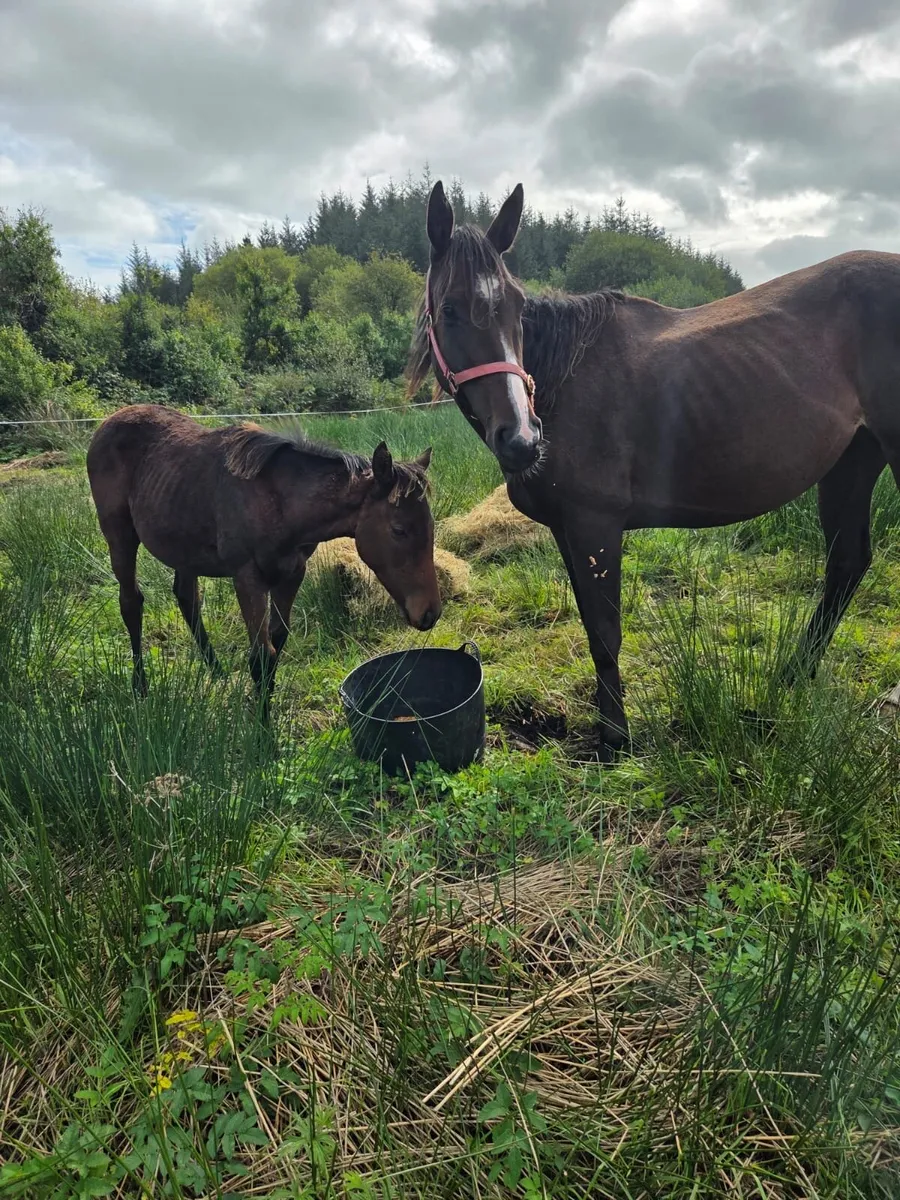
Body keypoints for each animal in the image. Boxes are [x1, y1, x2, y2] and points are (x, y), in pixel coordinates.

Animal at [87, 404, 441, 716]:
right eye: (398, 530)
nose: (430, 613)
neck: (281, 503)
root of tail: (107, 423)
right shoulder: (247, 577)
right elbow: (261, 657)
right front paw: (263, 736)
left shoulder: (292, 573)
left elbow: (277, 643)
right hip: (119, 534)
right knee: (131, 602)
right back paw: (140, 687)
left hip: (184, 546)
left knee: (187, 598)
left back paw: (217, 673)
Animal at [408, 179, 900, 760]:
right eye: (449, 310)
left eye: (517, 307)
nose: (522, 439)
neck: (564, 379)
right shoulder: (568, 530)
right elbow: (593, 628)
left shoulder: (596, 526)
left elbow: (606, 632)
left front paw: (616, 740)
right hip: (853, 460)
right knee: (846, 564)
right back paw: (788, 679)